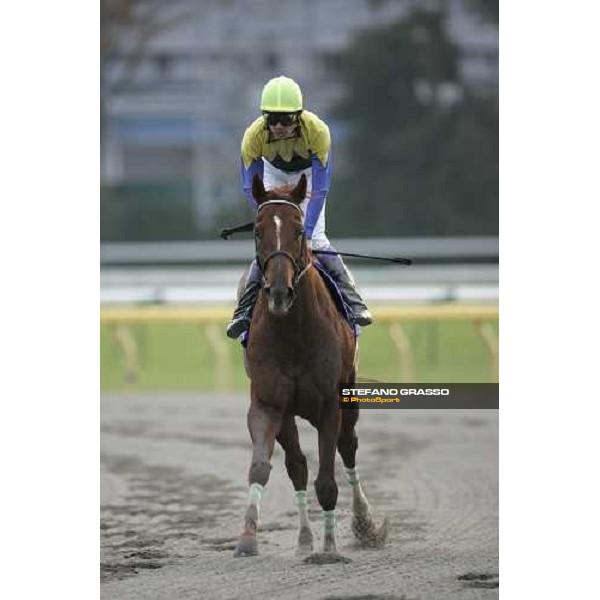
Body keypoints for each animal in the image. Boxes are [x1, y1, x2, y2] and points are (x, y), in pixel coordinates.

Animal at [232, 176, 386, 560]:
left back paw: (365, 524)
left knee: (348, 448)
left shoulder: (331, 403)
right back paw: (304, 538)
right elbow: (264, 468)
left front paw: (330, 549)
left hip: (349, 400)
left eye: (300, 230)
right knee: (298, 466)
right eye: (257, 231)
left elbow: (328, 480)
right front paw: (248, 538)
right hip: (290, 415)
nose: (279, 292)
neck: (294, 331)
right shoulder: (269, 404)